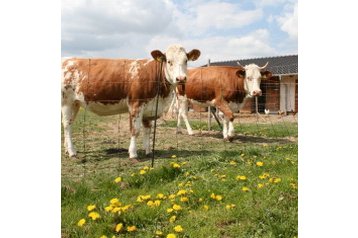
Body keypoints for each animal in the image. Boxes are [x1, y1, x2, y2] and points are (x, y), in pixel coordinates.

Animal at [62, 45, 201, 159]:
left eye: (186, 61)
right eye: (169, 61)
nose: (181, 78)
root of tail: (67, 60)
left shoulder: (149, 108)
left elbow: (147, 130)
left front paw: (148, 151)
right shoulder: (136, 105)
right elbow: (135, 130)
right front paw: (133, 154)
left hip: (75, 104)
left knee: (69, 124)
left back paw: (67, 149)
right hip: (66, 102)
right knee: (67, 125)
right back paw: (72, 152)